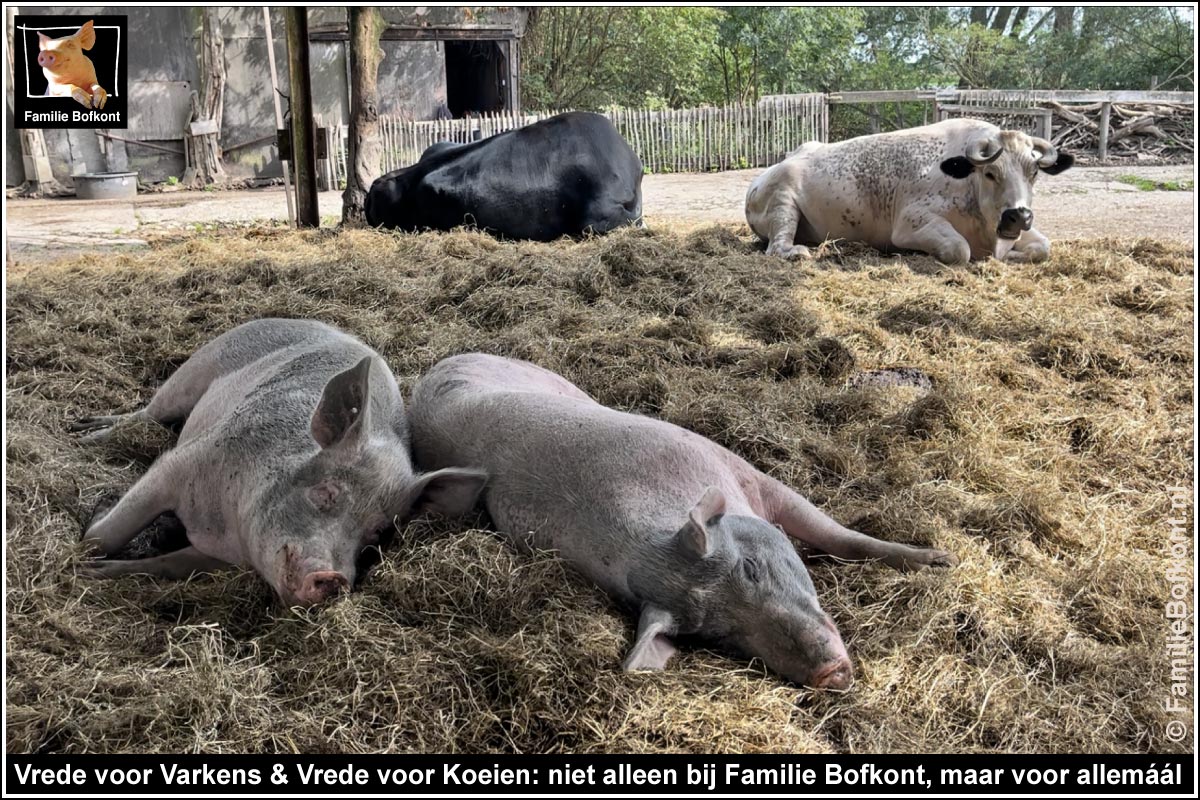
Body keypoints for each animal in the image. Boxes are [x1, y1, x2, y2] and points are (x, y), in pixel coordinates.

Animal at [745, 118, 1075, 265]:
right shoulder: (910, 223)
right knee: (776, 246)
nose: (1017, 215)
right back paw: (797, 251)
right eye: (990, 173)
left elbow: (1044, 247)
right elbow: (960, 250)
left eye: (1034, 173)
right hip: (783, 201)